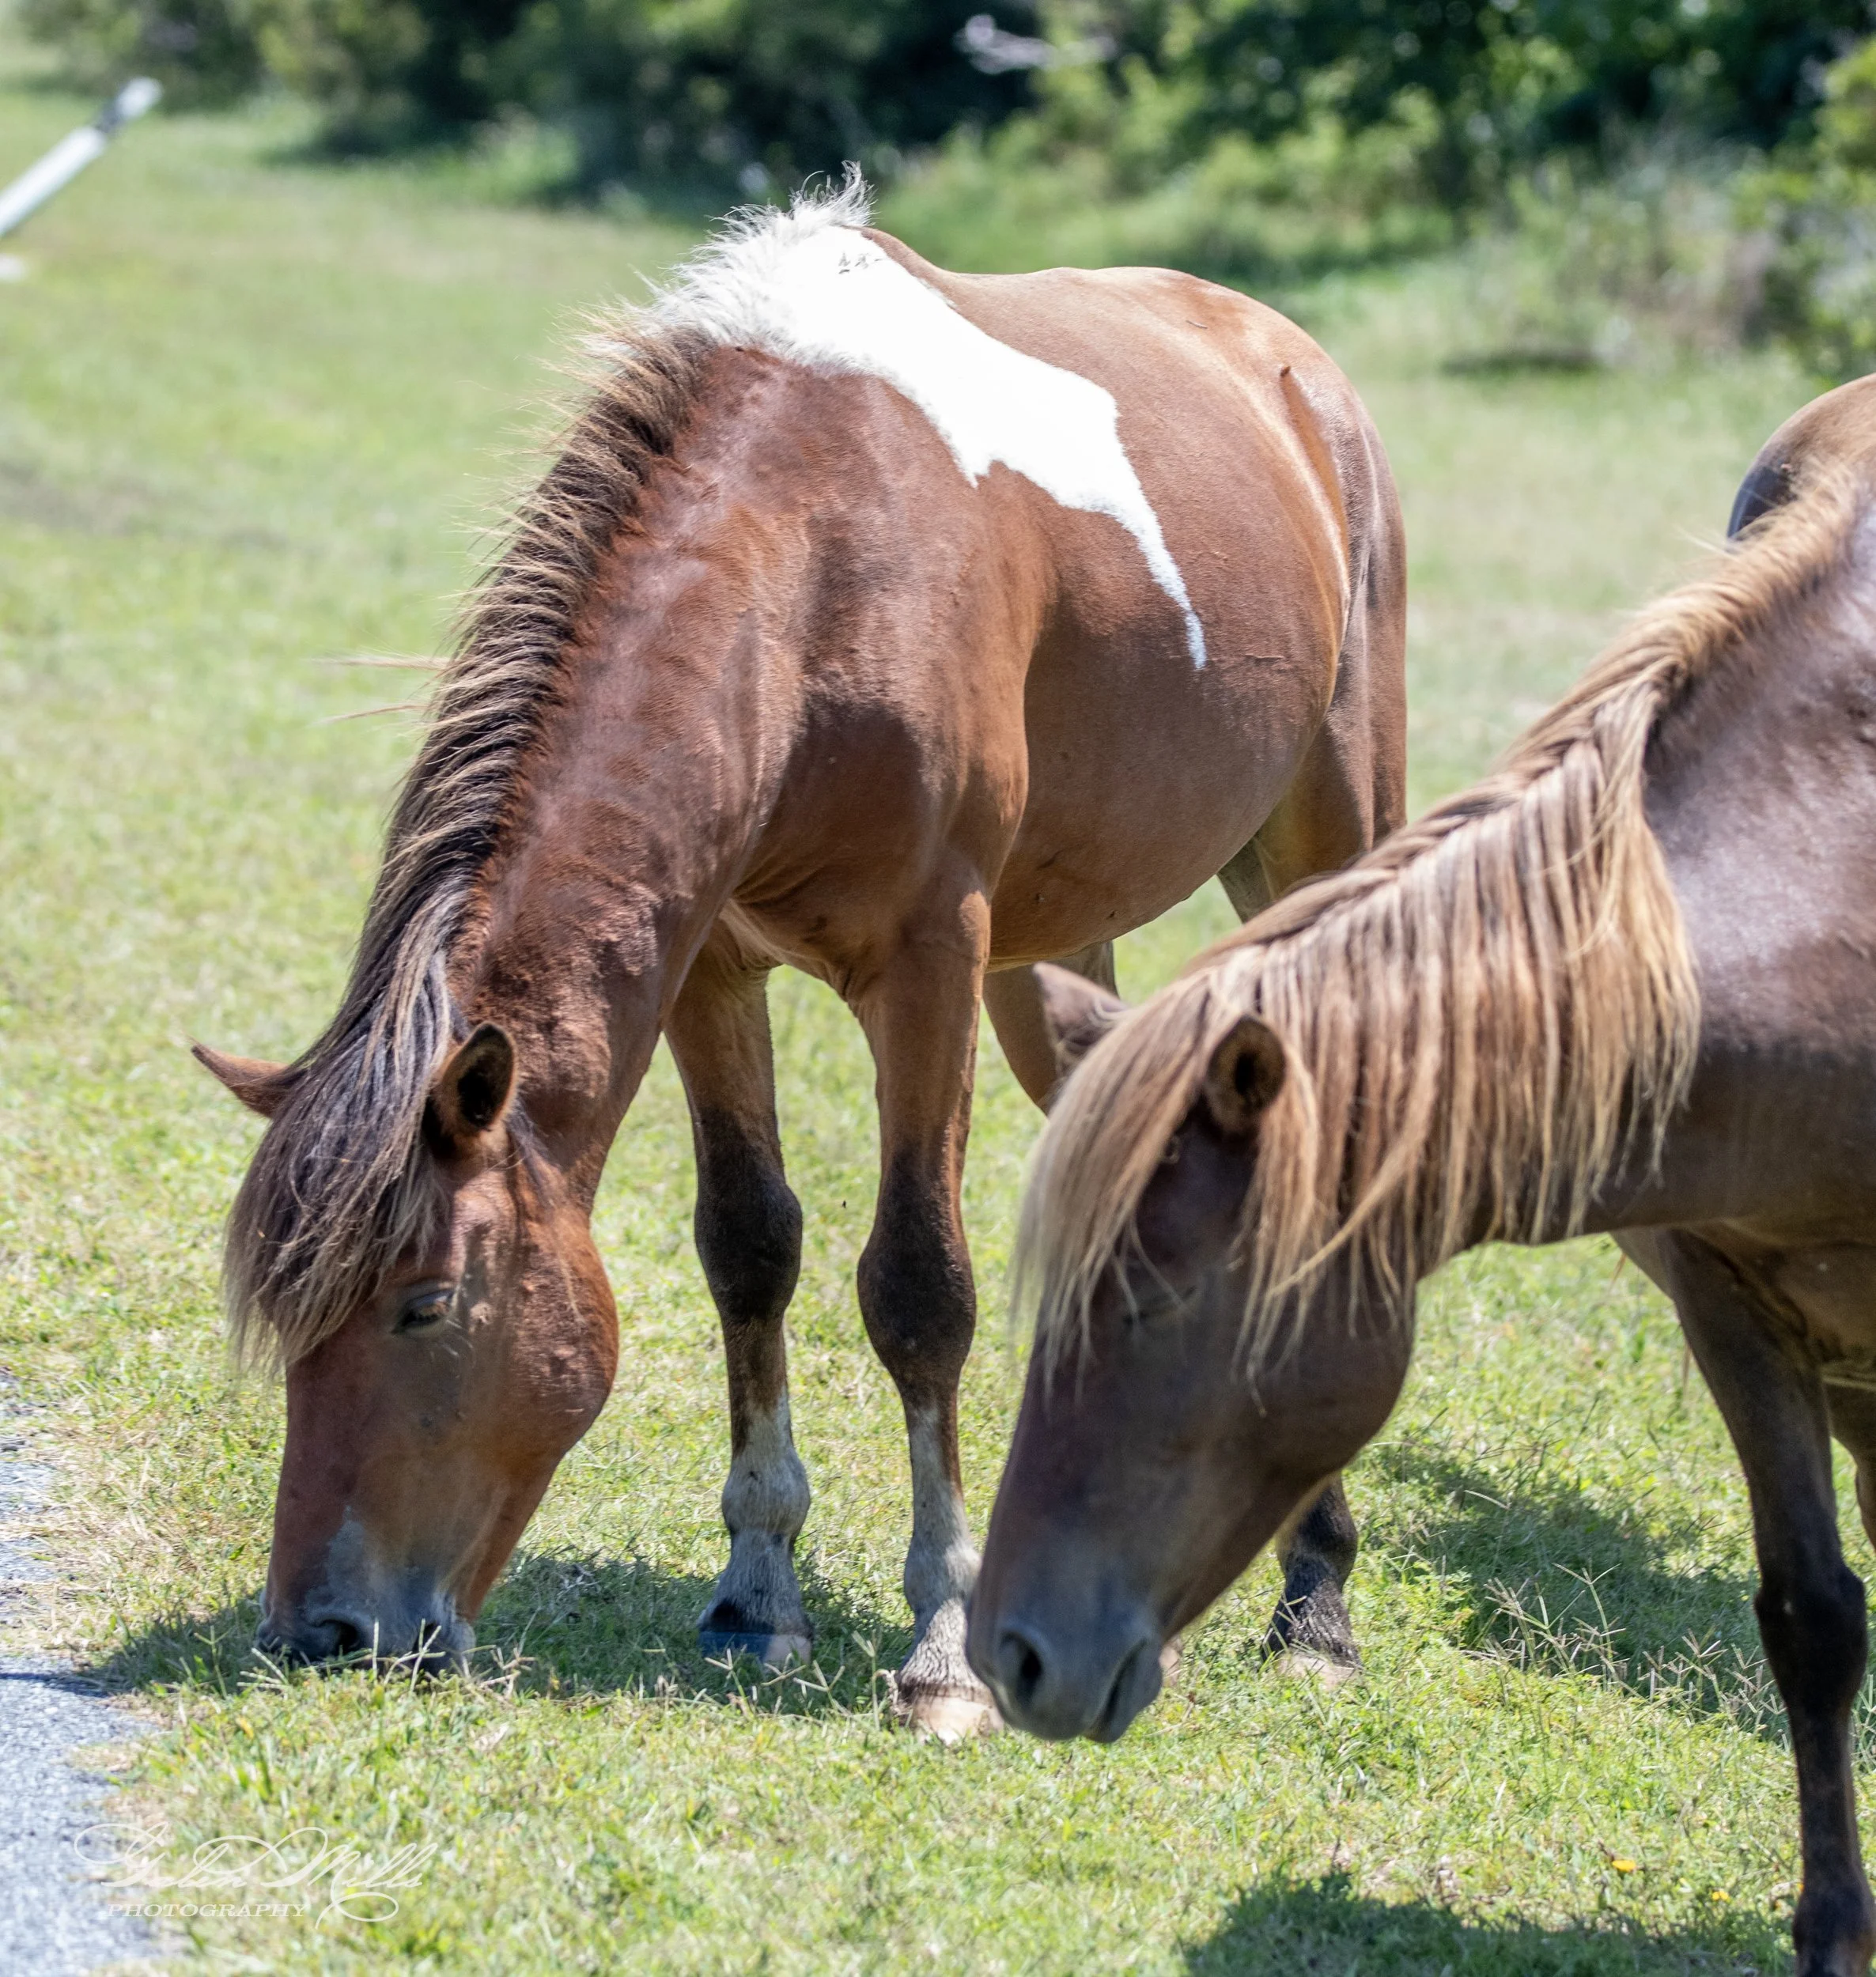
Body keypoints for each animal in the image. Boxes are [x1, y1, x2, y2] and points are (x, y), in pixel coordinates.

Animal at [193, 180, 1406, 1739]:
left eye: (426, 1306)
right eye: (292, 1318)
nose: (320, 1632)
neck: (813, 571)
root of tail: (1292, 361)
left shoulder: (929, 963)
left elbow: (918, 1288)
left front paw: (945, 1646)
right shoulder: (711, 964)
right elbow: (749, 1246)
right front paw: (756, 1592)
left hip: (1315, 840)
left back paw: (1315, 1597)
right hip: (1057, 955)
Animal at [967, 384, 1876, 1969]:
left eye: (1159, 1306)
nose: (1011, 1654)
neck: (1832, 884)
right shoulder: (1742, 1316)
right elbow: (1814, 1623)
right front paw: (1835, 1929)